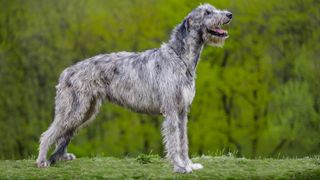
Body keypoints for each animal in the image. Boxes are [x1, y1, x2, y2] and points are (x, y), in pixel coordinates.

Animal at [36, 3, 232, 173]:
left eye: (212, 9)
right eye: (207, 12)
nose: (230, 14)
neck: (180, 58)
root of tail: (66, 72)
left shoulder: (183, 110)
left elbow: (183, 140)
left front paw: (189, 164)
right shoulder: (171, 109)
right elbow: (174, 141)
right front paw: (179, 166)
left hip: (86, 111)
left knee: (64, 133)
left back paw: (60, 157)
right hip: (74, 109)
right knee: (49, 133)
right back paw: (42, 161)